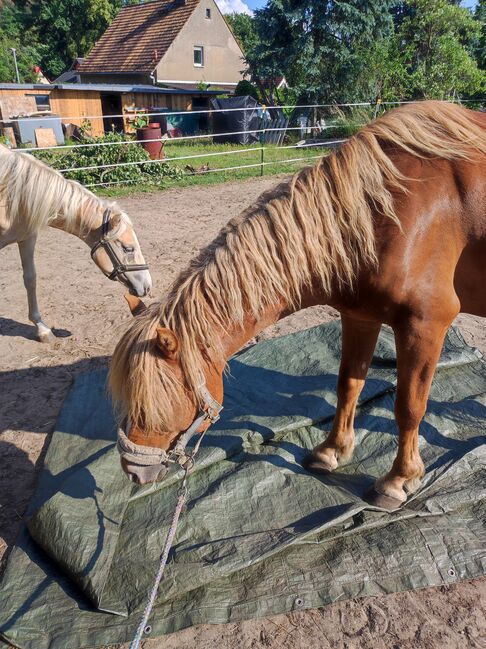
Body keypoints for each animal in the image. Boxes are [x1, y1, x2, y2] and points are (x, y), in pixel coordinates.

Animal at [0, 145, 151, 342]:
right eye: (128, 249)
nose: (148, 286)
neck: (10, 195)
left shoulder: (26, 237)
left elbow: (30, 279)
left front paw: (42, 329)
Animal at [110, 100, 486, 512]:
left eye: (152, 404)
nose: (132, 471)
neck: (388, 214)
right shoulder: (360, 316)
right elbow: (348, 386)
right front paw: (331, 451)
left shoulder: (425, 326)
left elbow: (408, 406)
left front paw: (398, 480)